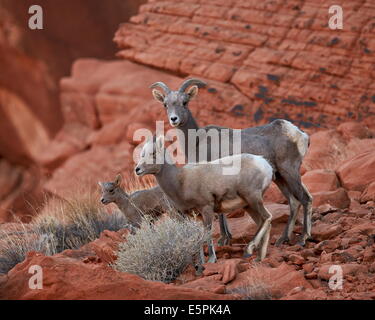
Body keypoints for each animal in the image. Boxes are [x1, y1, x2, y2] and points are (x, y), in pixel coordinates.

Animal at [135, 135, 274, 262]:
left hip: (253, 199)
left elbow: (207, 234)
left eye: (153, 153)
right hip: (248, 205)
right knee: (262, 222)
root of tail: (265, 164)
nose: (137, 169)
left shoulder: (206, 209)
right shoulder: (196, 216)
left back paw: (249, 250)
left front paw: (212, 260)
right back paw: (259, 258)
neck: (180, 181)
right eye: (142, 154)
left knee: (267, 217)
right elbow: (198, 237)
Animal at [151, 79, 312, 246]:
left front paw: (223, 239)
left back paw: (302, 239)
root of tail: (299, 134)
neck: (197, 142)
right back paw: (283, 239)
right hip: (280, 177)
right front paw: (227, 237)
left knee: (305, 199)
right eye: (165, 104)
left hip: (289, 171)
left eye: (185, 102)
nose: (174, 119)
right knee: (294, 201)